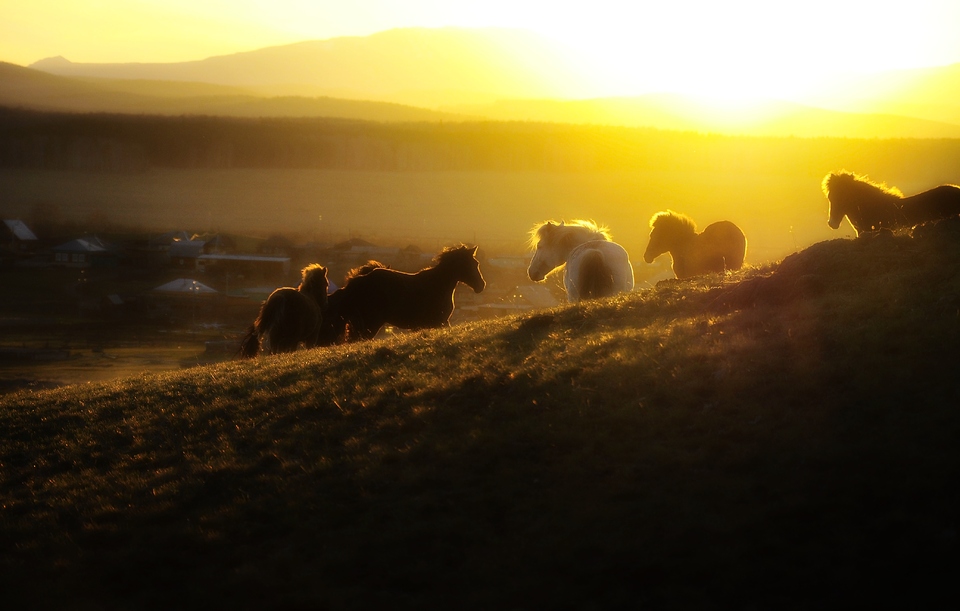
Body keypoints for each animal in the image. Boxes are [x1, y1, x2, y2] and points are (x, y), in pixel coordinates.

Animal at [324, 245, 488, 342]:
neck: (437, 285)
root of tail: (352, 285)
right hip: (368, 325)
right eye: (474, 264)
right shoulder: (439, 322)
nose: (481, 285)